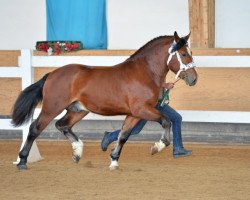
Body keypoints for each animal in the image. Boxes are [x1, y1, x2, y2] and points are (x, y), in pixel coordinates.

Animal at [11, 31, 198, 170]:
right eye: (183, 54)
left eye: (190, 53)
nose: (194, 79)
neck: (144, 72)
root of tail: (51, 74)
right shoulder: (142, 110)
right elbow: (166, 121)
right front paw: (157, 146)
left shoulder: (134, 114)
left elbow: (123, 135)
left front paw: (114, 160)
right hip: (52, 107)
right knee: (35, 128)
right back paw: (22, 161)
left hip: (78, 110)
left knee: (62, 125)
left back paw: (77, 152)